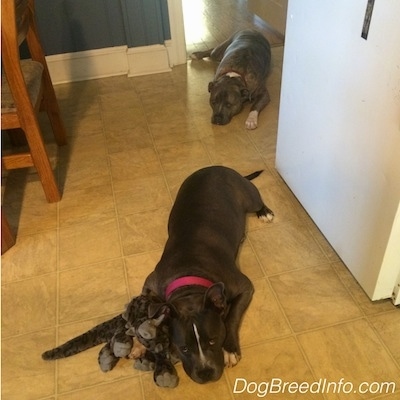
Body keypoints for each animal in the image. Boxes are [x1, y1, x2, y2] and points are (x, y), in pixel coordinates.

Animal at [142, 166, 274, 384]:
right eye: (184, 348)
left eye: (213, 340)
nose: (205, 373)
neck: (189, 276)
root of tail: (217, 166)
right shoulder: (151, 282)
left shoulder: (245, 287)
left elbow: (231, 317)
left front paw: (229, 349)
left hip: (249, 196)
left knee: (257, 200)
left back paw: (265, 213)